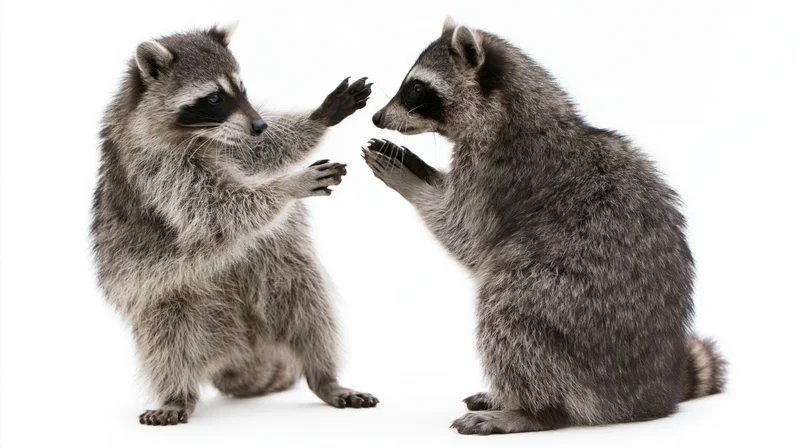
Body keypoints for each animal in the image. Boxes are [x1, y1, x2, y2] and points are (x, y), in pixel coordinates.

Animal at [91, 25, 377, 426]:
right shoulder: (154, 167)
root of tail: (242, 344)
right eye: (213, 98)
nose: (259, 124)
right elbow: (215, 209)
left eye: (242, 89)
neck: (200, 135)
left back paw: (325, 376)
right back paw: (177, 394)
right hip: (168, 296)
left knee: (311, 315)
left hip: (283, 279)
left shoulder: (232, 140)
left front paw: (316, 118)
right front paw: (287, 185)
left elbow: (260, 153)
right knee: (167, 342)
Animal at [364, 18, 726, 434]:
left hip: (565, 304)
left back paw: (532, 410)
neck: (507, 109)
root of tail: (643, 395)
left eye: (416, 88)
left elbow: (466, 236)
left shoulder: (498, 176)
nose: (377, 117)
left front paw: (411, 182)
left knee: (508, 309)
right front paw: (419, 169)